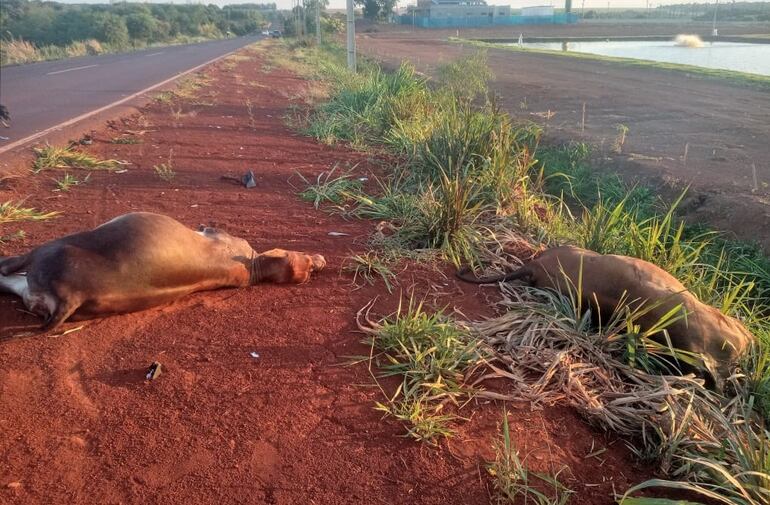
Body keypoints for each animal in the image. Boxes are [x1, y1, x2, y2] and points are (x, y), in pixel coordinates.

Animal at [0, 212, 324, 330]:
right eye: (307, 266)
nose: (320, 260)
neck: (254, 266)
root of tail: (73, 297)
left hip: (46, 253)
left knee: (7, 265)